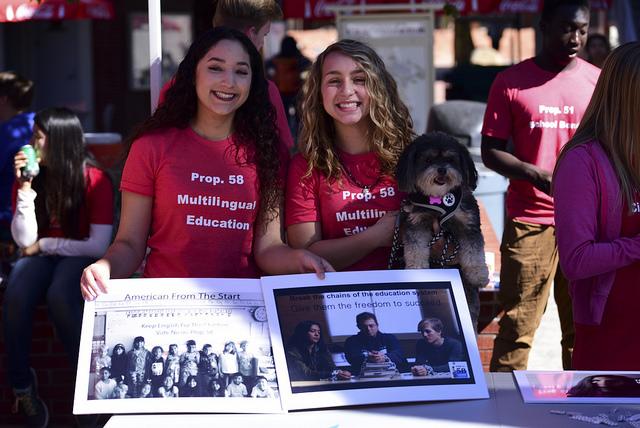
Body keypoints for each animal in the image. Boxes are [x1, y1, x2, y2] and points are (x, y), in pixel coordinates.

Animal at [396, 132, 490, 322]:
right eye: (428, 160)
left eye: (450, 159)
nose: (442, 169)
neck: (438, 200)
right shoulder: (416, 223)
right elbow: (415, 250)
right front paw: (416, 271)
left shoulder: (469, 225)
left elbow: (474, 253)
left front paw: (478, 274)